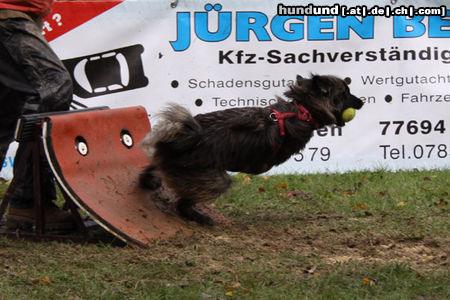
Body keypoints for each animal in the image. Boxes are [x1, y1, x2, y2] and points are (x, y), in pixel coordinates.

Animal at [142, 74, 364, 224]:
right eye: (345, 93)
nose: (362, 101)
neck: (303, 110)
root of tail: (188, 136)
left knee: (154, 170)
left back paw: (149, 180)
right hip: (215, 179)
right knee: (182, 204)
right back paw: (201, 218)